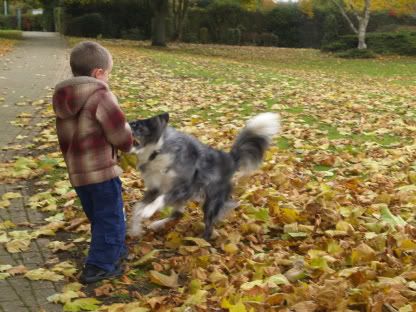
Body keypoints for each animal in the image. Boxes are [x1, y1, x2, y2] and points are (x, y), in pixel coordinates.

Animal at [128, 112, 282, 239]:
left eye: (136, 125)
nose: (126, 124)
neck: (157, 151)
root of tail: (229, 159)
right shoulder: (155, 188)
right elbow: (137, 207)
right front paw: (135, 229)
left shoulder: (184, 187)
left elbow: (160, 199)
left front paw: (148, 211)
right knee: (178, 214)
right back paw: (157, 224)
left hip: (211, 202)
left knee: (208, 225)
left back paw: (203, 242)